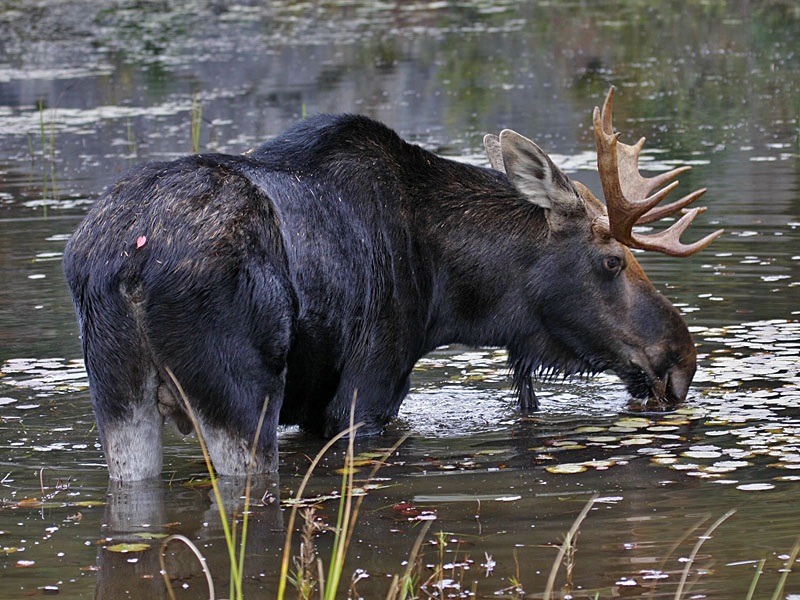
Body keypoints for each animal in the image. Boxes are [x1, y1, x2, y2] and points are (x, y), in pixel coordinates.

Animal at [64, 89, 724, 480]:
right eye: (612, 261)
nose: (681, 361)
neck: (447, 297)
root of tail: (123, 267)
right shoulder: (368, 389)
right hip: (241, 394)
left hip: (117, 395)